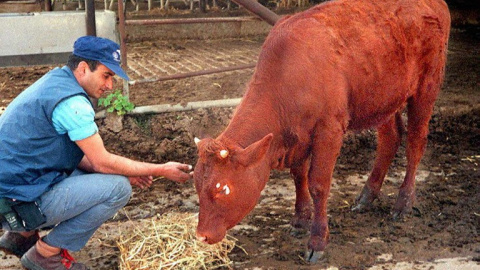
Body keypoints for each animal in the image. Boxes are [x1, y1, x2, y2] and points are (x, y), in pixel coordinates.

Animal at [191, 0, 450, 262]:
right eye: (197, 184)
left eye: (224, 189)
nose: (202, 235)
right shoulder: (297, 136)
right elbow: (299, 177)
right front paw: (299, 219)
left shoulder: (329, 130)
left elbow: (318, 184)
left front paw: (317, 240)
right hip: (383, 98)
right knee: (390, 138)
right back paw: (367, 196)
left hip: (427, 86)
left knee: (415, 143)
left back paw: (404, 203)